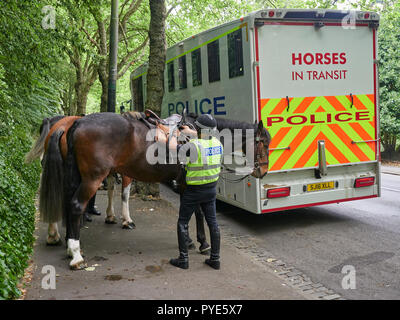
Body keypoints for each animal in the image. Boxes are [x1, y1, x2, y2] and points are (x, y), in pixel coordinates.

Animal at [39, 111, 270, 268]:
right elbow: (197, 213)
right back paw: (75, 254)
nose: (263, 170)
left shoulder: (184, 184)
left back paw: (66, 244)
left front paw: (190, 240)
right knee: (76, 206)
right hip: (92, 179)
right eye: (264, 143)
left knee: (65, 202)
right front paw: (202, 242)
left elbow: (190, 213)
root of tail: (77, 123)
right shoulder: (188, 184)